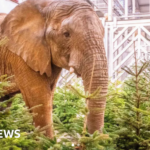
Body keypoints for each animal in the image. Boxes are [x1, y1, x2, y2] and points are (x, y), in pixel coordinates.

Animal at [0, 0, 108, 138]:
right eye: (66, 34)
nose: (86, 137)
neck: (46, 7)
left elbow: (49, 97)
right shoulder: (22, 55)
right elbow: (40, 101)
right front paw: (49, 142)